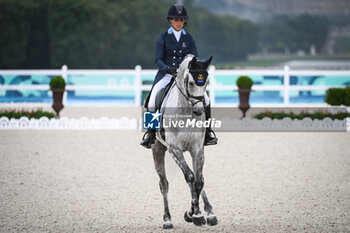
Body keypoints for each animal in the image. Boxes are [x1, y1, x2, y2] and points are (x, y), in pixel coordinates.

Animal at [152, 54, 217, 229]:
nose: (199, 111)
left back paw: (210, 213)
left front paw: (196, 213)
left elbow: (199, 181)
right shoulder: (175, 149)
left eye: (206, 82)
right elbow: (190, 177)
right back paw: (167, 219)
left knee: (199, 180)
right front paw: (196, 214)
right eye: (191, 83)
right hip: (157, 150)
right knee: (163, 184)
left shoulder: (197, 149)